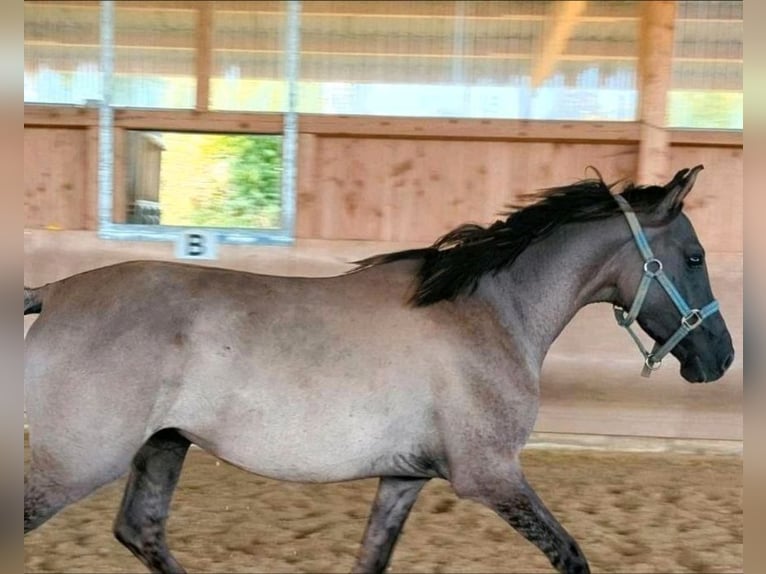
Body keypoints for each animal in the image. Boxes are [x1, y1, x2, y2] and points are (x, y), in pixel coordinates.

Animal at [22, 166, 732, 574]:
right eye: (695, 256)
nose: (720, 357)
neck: (489, 311)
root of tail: (52, 293)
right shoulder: (491, 476)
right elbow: (573, 557)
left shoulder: (403, 478)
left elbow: (371, 559)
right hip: (77, 461)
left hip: (163, 446)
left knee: (141, 531)